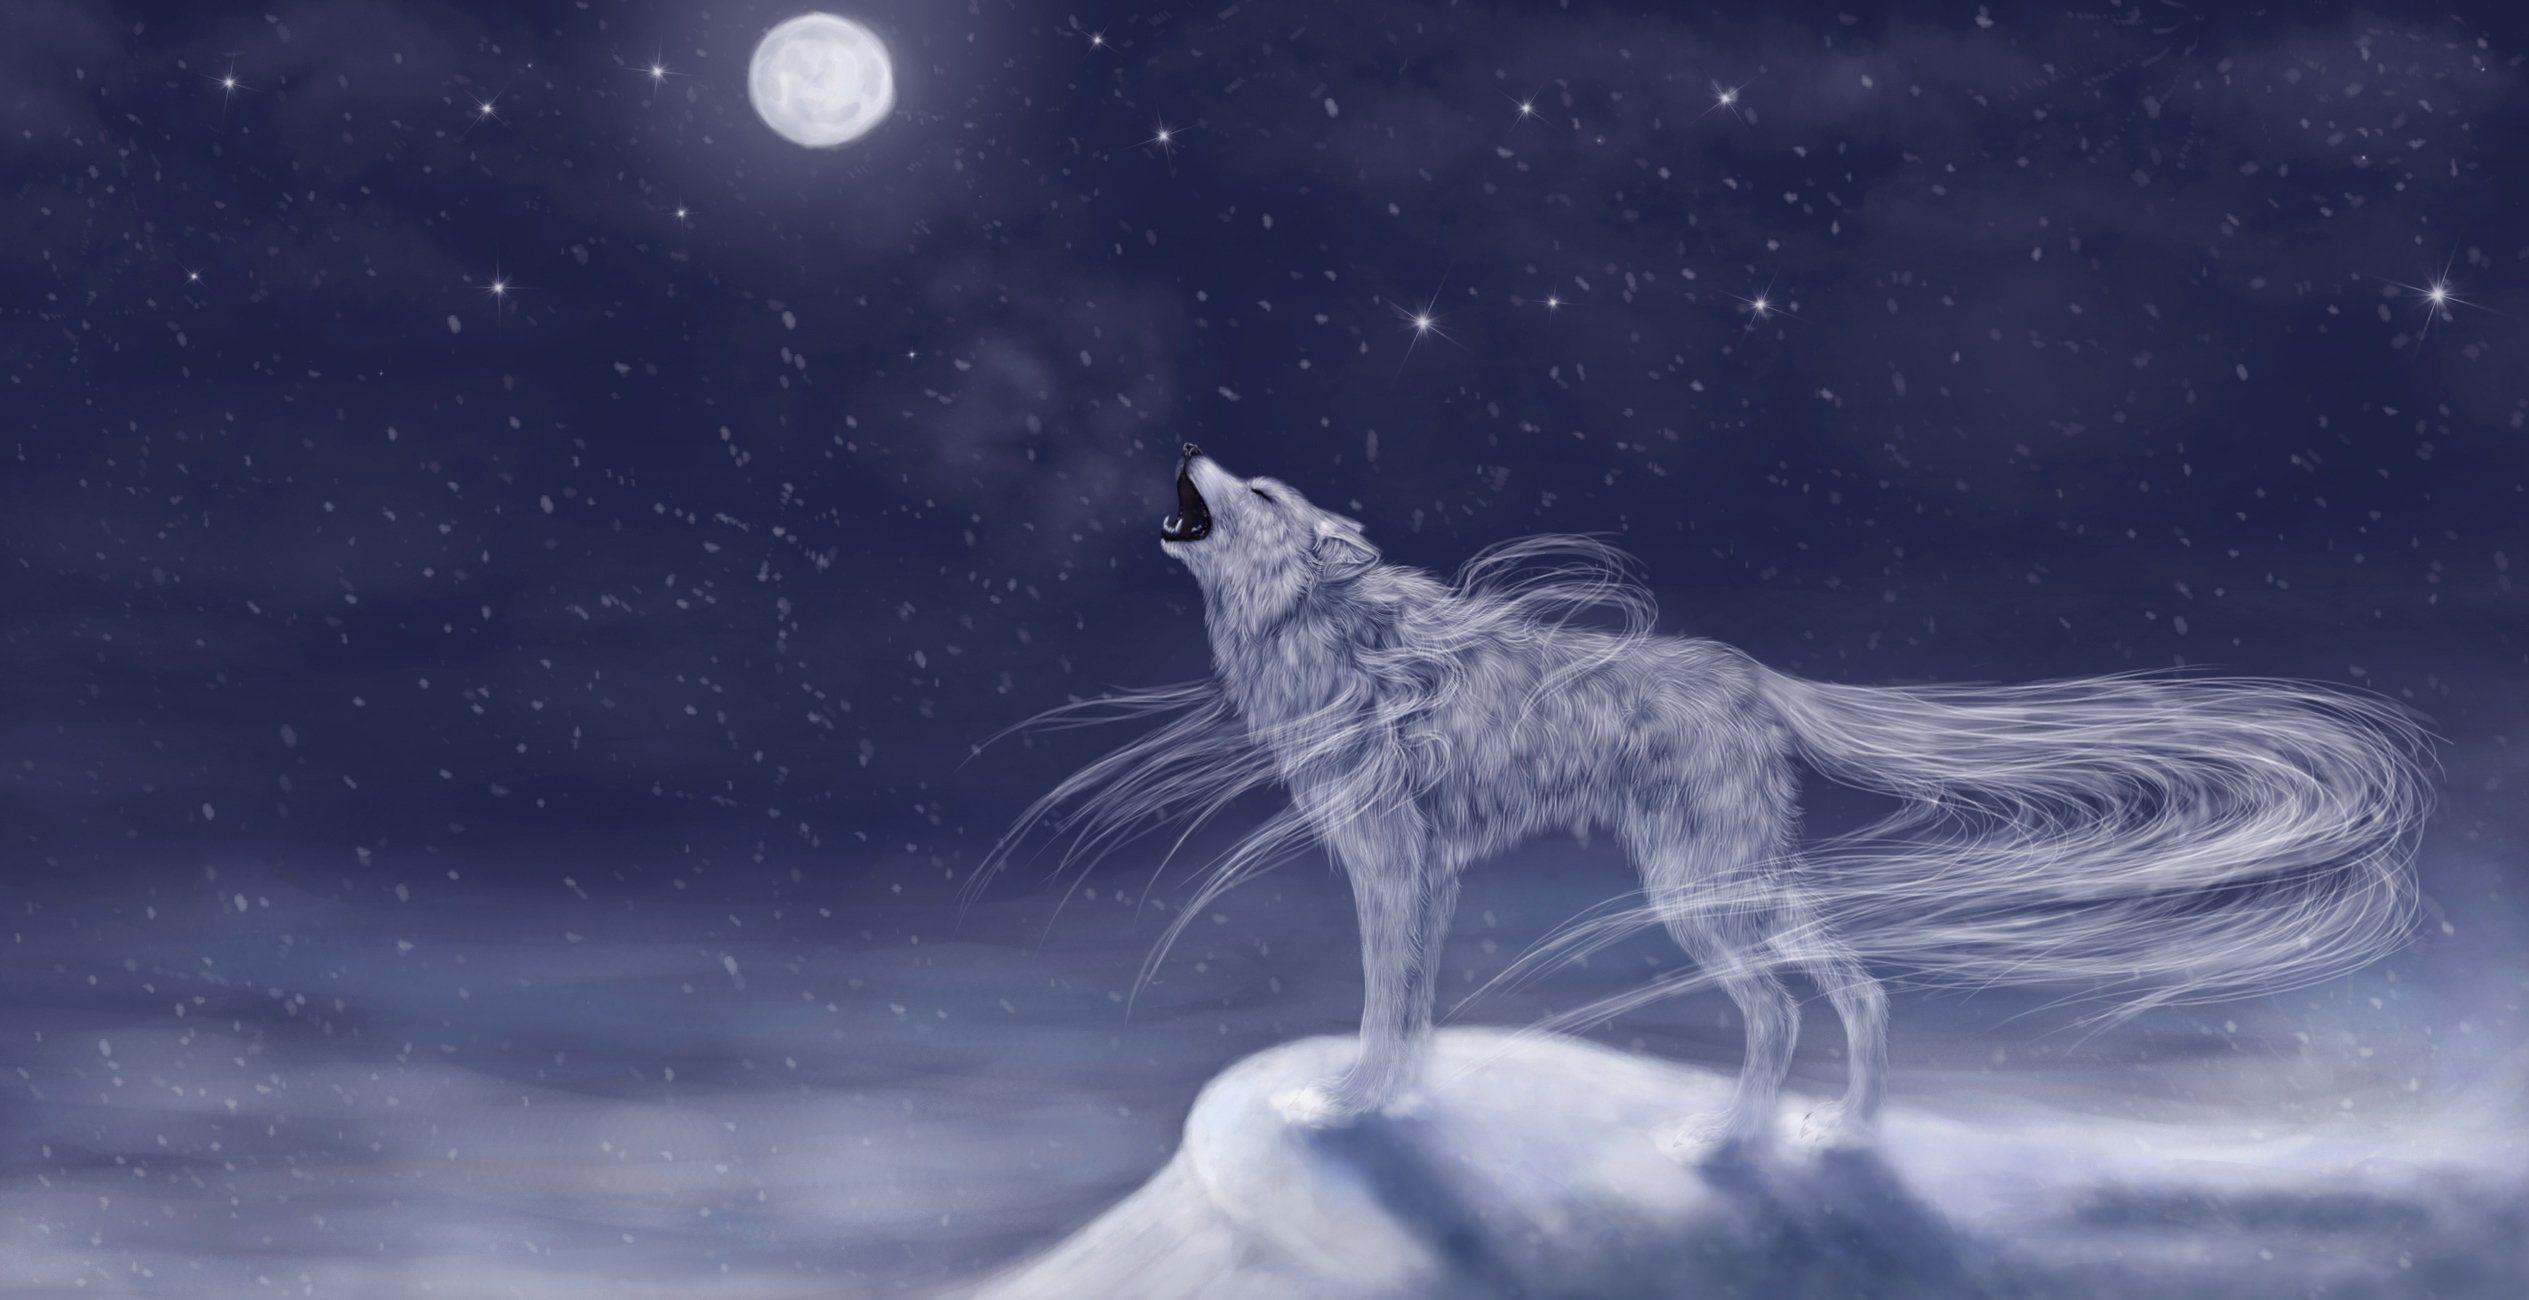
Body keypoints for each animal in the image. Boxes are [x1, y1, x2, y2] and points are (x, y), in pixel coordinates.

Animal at [985, 445, 2429, 1153]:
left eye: (1264, 489)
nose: (1189, 445)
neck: (1322, 629)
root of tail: (1753, 673)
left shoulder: (1397, 869)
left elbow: (1387, 1005)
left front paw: (1350, 1105)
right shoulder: (1416, 876)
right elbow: (1408, 1005)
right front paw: (1388, 1100)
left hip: (1697, 894)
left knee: (1780, 1008)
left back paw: (1726, 1142)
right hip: (1747, 878)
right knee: (1858, 989)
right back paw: (1840, 1134)